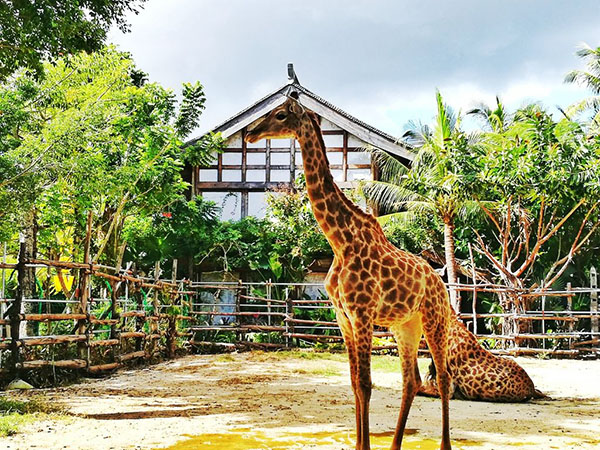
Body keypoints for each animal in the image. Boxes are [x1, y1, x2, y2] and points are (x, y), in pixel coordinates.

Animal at [246, 95, 452, 450]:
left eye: (281, 114)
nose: (249, 134)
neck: (340, 241)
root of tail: (440, 281)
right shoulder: (342, 316)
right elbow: (355, 382)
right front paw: (358, 444)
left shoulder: (362, 313)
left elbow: (366, 384)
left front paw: (365, 445)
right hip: (405, 325)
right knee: (411, 380)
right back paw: (395, 445)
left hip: (434, 319)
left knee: (443, 377)